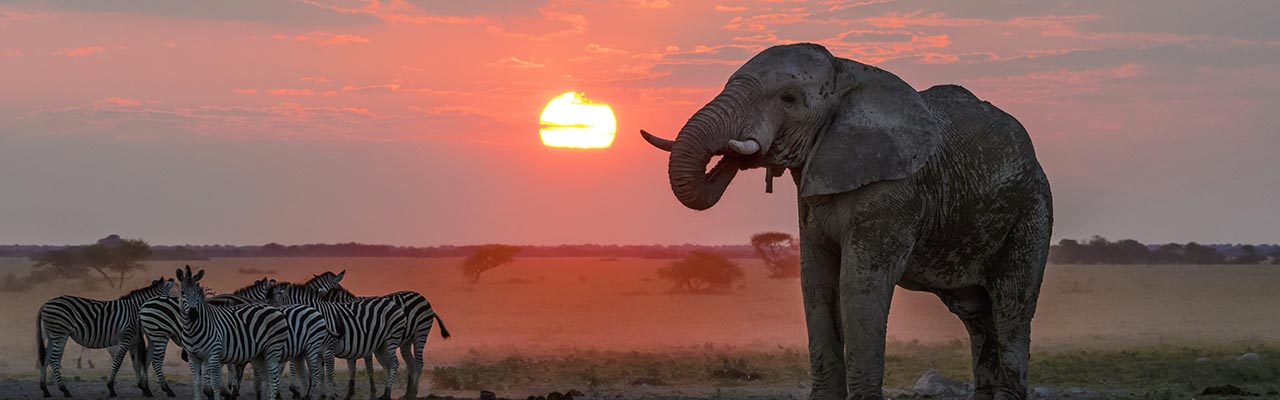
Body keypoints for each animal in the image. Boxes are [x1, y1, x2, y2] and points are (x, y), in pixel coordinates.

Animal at [37, 278, 174, 397]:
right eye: (169, 297)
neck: (136, 311)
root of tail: (45, 304)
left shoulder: (133, 342)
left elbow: (136, 364)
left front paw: (143, 388)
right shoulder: (126, 339)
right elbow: (118, 362)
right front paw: (111, 388)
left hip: (52, 336)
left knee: (46, 358)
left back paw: (45, 390)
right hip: (60, 334)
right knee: (54, 360)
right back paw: (64, 390)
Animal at [268, 280, 404, 400]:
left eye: (275, 306)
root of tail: (391, 302)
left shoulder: (329, 349)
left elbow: (329, 374)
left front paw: (331, 396)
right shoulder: (318, 352)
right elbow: (321, 375)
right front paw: (322, 396)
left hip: (391, 340)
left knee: (394, 364)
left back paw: (387, 393)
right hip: (380, 346)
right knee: (387, 366)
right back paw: (386, 393)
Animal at [307, 271, 453, 400]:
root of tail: (422, 297)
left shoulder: (365, 343)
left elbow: (369, 368)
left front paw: (372, 392)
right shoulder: (353, 344)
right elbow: (352, 369)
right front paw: (350, 393)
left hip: (420, 334)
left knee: (419, 363)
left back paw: (413, 392)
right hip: (406, 341)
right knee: (411, 364)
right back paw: (407, 393)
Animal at [640, 42, 1049, 397]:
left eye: (788, 99)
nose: (734, 155)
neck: (846, 73)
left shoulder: (894, 190)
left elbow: (858, 284)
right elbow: (815, 282)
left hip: (1031, 212)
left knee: (1010, 308)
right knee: (978, 315)